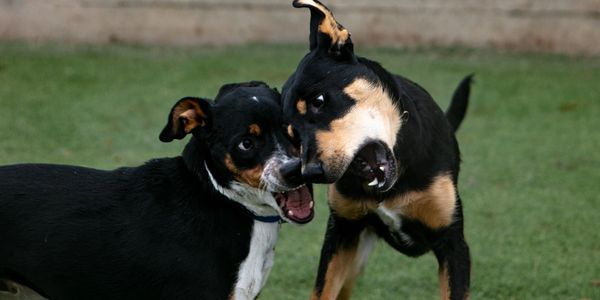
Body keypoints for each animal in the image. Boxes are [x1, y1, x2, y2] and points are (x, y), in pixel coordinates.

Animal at [282, 1, 474, 298]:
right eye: (292, 135)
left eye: (319, 101)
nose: (311, 172)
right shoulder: (342, 232)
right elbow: (321, 290)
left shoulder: (453, 244)